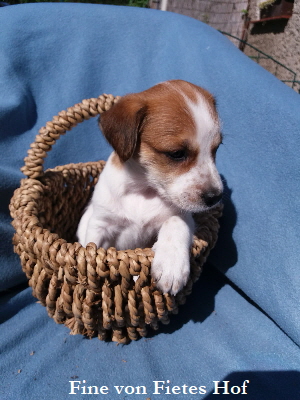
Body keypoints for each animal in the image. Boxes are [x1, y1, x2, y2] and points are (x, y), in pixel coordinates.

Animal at [76, 79, 224, 296]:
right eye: (177, 153)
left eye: (216, 149)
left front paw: (171, 266)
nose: (215, 196)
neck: (143, 192)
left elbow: (175, 222)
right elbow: (91, 250)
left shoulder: (184, 216)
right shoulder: (100, 225)